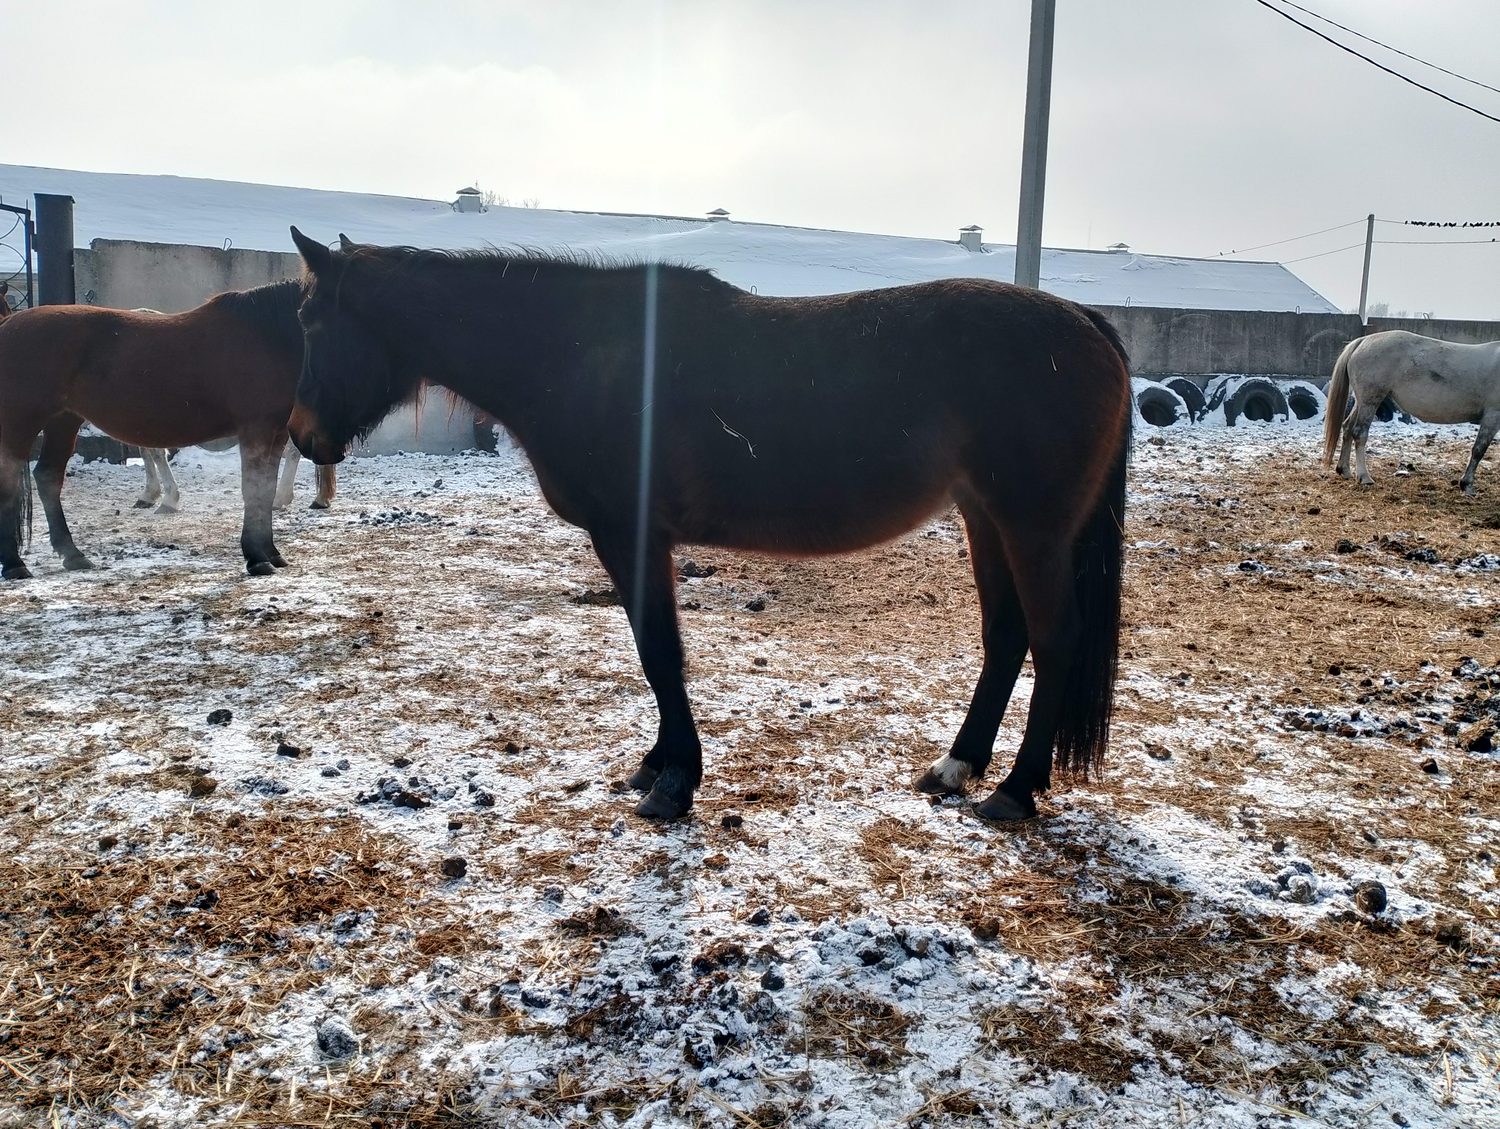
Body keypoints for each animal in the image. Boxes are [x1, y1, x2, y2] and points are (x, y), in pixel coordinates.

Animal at [0, 279, 312, 579]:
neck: (268, 335)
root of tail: (8, 326)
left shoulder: (276, 432)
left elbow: (266, 490)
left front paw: (271, 553)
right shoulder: (256, 429)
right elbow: (254, 489)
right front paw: (257, 558)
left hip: (63, 421)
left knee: (48, 476)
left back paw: (72, 555)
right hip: (20, 422)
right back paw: (15, 564)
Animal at [287, 227, 1132, 824]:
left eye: (311, 322)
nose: (301, 434)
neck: (579, 355)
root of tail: (1085, 324)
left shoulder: (631, 535)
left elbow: (661, 652)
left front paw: (676, 782)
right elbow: (651, 649)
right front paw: (658, 760)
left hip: (1033, 527)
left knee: (1053, 639)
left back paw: (1016, 790)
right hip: (986, 518)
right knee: (1007, 637)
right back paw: (956, 768)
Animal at [1323, 330, 1500, 493]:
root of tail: (1363, 340)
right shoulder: (1492, 416)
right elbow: (1479, 450)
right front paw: (1467, 484)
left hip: (1362, 402)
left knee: (1347, 428)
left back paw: (1344, 470)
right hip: (1370, 401)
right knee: (1359, 433)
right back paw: (1364, 477)